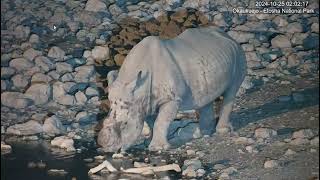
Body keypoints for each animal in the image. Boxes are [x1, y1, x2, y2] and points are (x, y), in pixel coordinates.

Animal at [97, 26, 248, 152]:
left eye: (125, 124)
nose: (106, 148)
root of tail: (227, 35)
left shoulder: (172, 99)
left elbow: (160, 121)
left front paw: (158, 148)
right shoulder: (147, 102)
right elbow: (152, 122)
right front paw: (149, 143)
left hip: (239, 54)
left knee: (231, 90)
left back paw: (222, 131)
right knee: (206, 98)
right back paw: (204, 133)